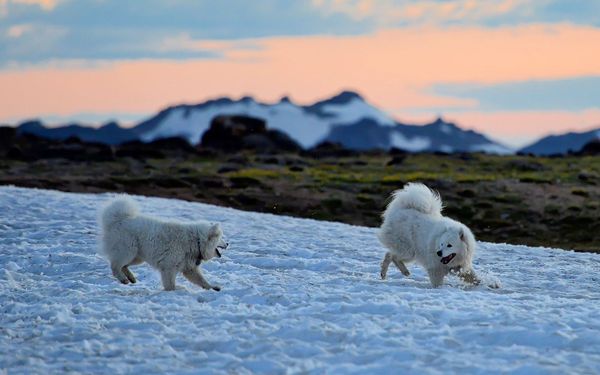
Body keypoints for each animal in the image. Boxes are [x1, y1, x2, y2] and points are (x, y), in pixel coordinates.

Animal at [98, 198, 230, 292]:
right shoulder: (168, 267)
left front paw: (213, 288)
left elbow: (202, 281)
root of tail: (118, 219)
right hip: (128, 251)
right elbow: (170, 284)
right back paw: (123, 279)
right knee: (115, 266)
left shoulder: (190, 269)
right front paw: (173, 292)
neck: (196, 241)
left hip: (137, 257)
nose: (228, 243)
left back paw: (131, 278)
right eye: (221, 238)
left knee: (123, 266)